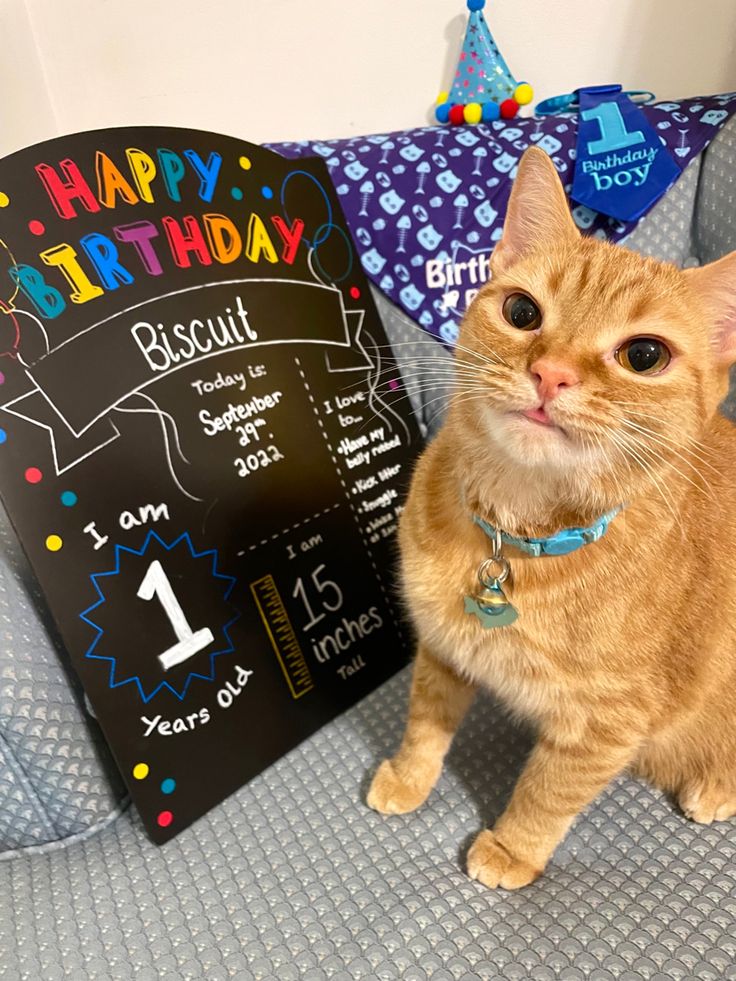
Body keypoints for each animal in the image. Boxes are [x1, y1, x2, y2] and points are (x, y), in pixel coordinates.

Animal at [370, 145, 736, 888]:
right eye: (521, 310)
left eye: (644, 355)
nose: (552, 373)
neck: (516, 534)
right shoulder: (443, 648)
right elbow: (425, 718)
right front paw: (408, 776)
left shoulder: (604, 725)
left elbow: (546, 790)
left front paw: (512, 849)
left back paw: (714, 786)